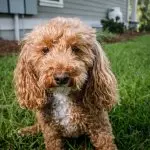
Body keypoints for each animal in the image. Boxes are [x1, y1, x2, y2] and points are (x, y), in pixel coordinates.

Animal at [14, 17, 118, 149]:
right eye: (45, 50)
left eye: (75, 49)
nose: (61, 77)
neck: (63, 95)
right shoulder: (50, 132)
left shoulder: (100, 125)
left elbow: (106, 144)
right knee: (38, 126)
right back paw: (25, 131)